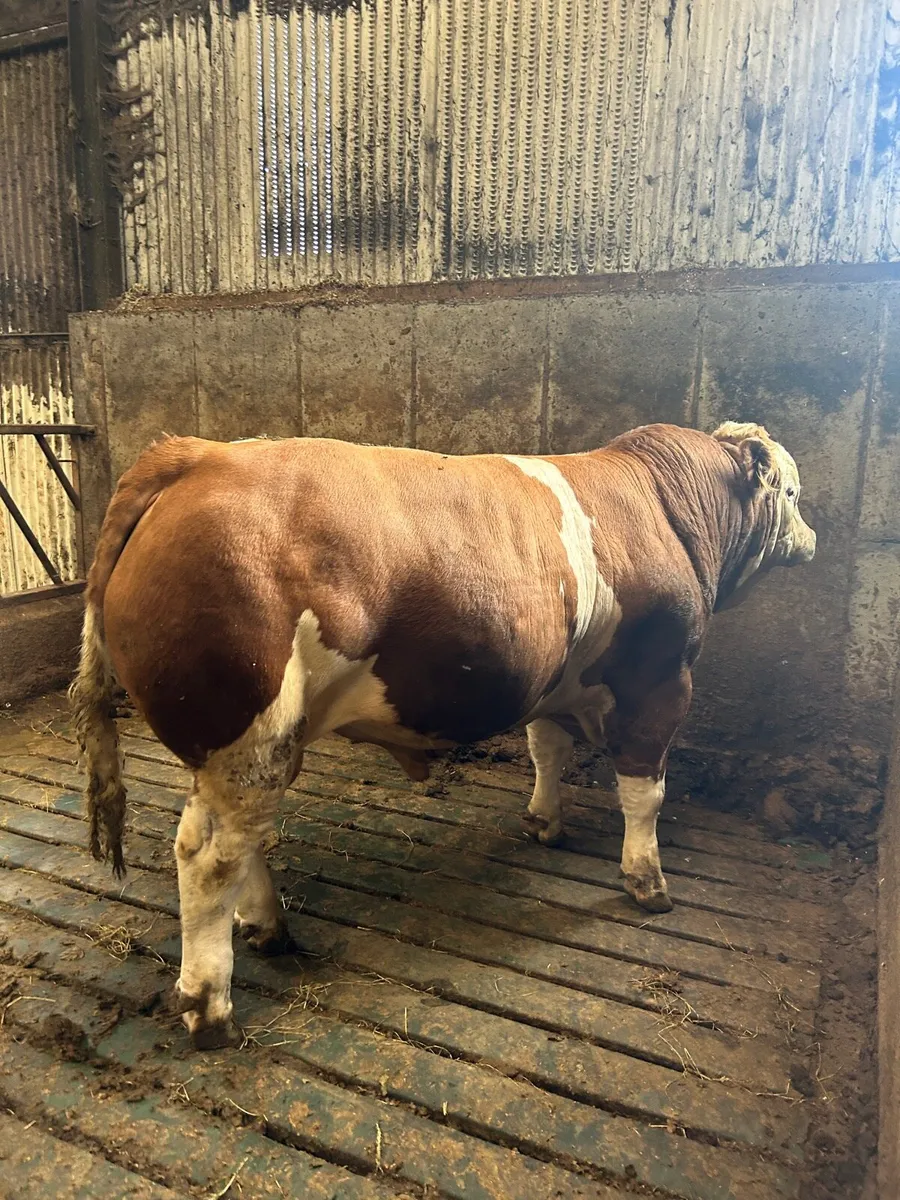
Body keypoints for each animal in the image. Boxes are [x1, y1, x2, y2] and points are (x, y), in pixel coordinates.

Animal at [70, 420, 815, 1049]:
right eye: (792, 492)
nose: (812, 539)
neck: (663, 508)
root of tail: (197, 453)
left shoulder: (552, 677)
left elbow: (548, 749)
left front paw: (544, 822)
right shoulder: (662, 679)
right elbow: (645, 789)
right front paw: (647, 881)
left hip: (248, 750)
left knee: (240, 837)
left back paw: (268, 928)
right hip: (248, 732)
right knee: (207, 856)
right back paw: (210, 1007)